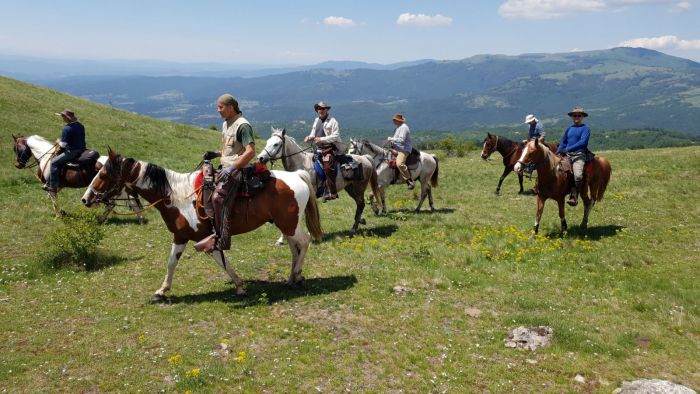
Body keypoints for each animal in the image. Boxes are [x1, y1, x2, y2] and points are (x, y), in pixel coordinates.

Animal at [11, 134, 144, 222]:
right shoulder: (57, 187)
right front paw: (61, 213)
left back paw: (103, 219)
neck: (46, 158)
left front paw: (58, 216)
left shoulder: (51, 186)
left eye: (16, 148)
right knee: (129, 201)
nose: (17, 165)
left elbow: (53, 200)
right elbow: (51, 198)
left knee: (115, 203)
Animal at [81, 149, 322, 300]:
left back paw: (297, 274)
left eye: (103, 174)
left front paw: (240, 286)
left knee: (305, 241)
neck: (176, 197)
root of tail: (297, 176)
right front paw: (161, 291)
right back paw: (292, 277)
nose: (85, 199)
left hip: (289, 224)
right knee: (294, 247)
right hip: (285, 224)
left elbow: (222, 262)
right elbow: (171, 262)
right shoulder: (181, 236)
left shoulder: (205, 238)